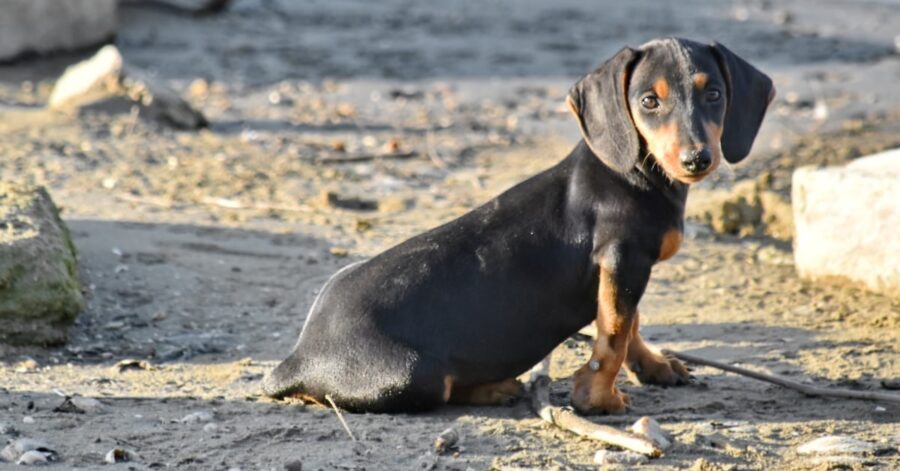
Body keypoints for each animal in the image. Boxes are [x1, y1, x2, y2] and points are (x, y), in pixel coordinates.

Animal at [262, 37, 772, 412]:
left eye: (714, 94)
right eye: (649, 101)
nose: (697, 159)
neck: (631, 173)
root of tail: (299, 358)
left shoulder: (622, 269)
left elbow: (630, 324)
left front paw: (653, 366)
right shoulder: (622, 259)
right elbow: (613, 332)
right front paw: (597, 399)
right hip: (410, 376)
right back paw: (495, 387)